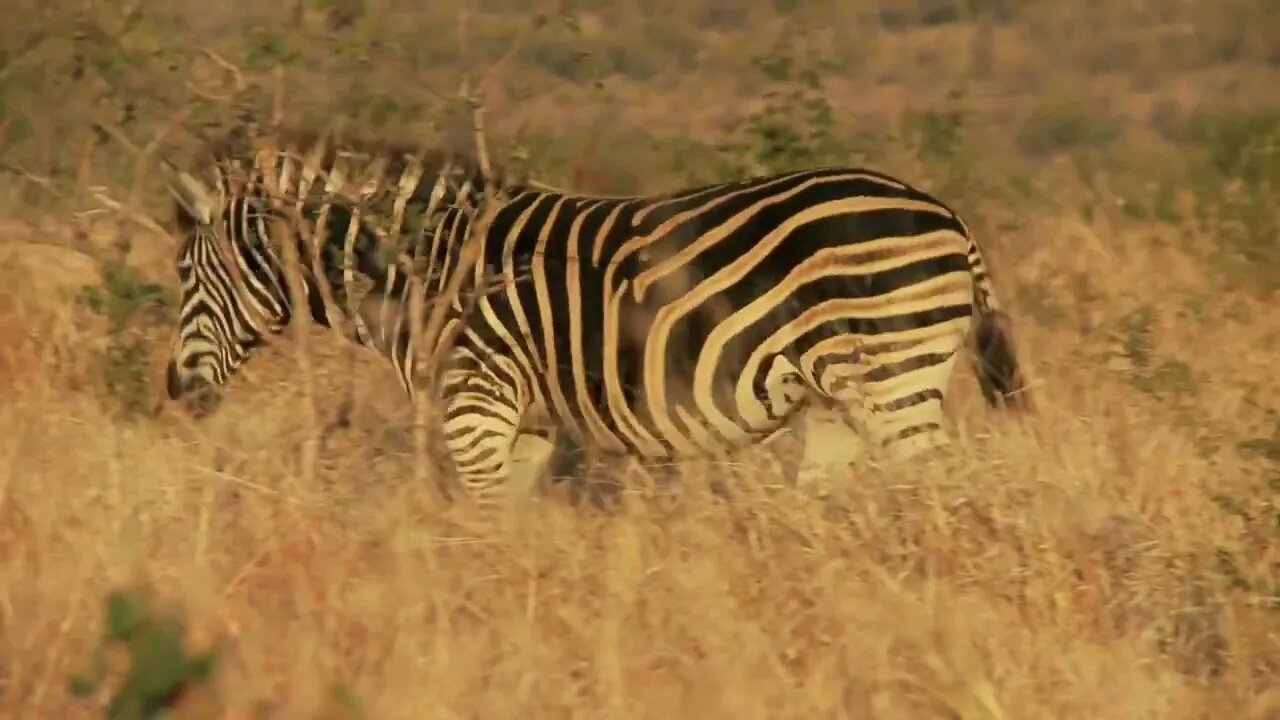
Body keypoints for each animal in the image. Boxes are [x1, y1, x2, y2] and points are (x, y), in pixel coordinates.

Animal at [165, 126, 1034, 512]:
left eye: (181, 276)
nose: (176, 394)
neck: (426, 272)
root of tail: (947, 214)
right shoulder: (526, 423)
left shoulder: (475, 405)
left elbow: (483, 529)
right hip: (838, 401)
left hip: (894, 378)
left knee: (942, 489)